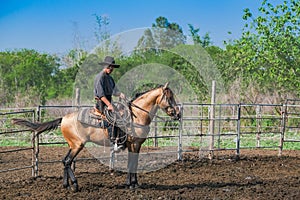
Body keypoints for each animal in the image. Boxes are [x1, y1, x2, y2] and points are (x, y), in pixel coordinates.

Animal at [11, 82, 180, 191]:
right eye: (170, 97)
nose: (177, 114)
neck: (137, 115)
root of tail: (63, 118)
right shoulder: (134, 144)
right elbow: (131, 164)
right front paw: (131, 185)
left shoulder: (136, 145)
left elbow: (134, 163)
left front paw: (134, 184)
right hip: (77, 145)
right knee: (68, 161)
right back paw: (75, 185)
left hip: (72, 145)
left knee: (64, 161)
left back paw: (66, 185)